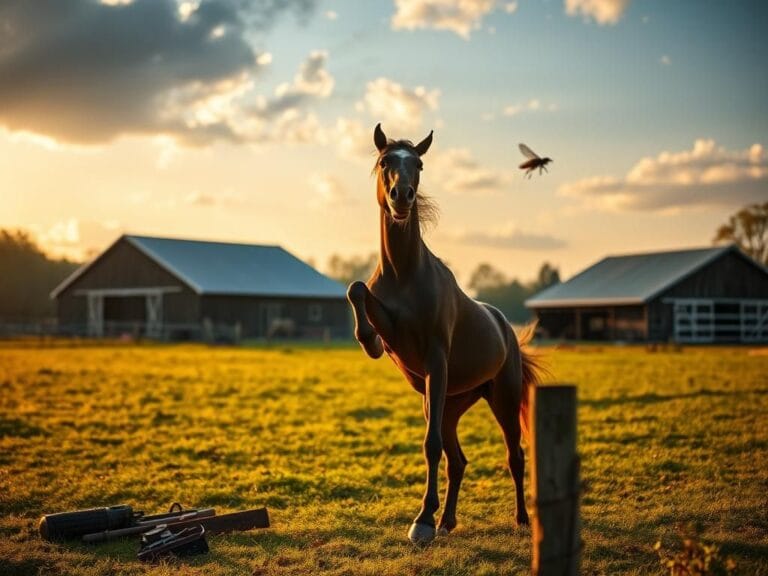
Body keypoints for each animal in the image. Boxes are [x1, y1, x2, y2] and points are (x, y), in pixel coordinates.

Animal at [346, 123, 545, 545]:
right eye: (385, 161)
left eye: (419, 164)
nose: (401, 196)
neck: (405, 272)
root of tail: (506, 329)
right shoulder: (397, 334)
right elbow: (357, 289)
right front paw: (368, 340)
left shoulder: (435, 361)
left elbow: (430, 445)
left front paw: (421, 520)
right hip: (450, 404)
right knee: (459, 461)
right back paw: (448, 521)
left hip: (501, 399)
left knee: (513, 456)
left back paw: (520, 519)